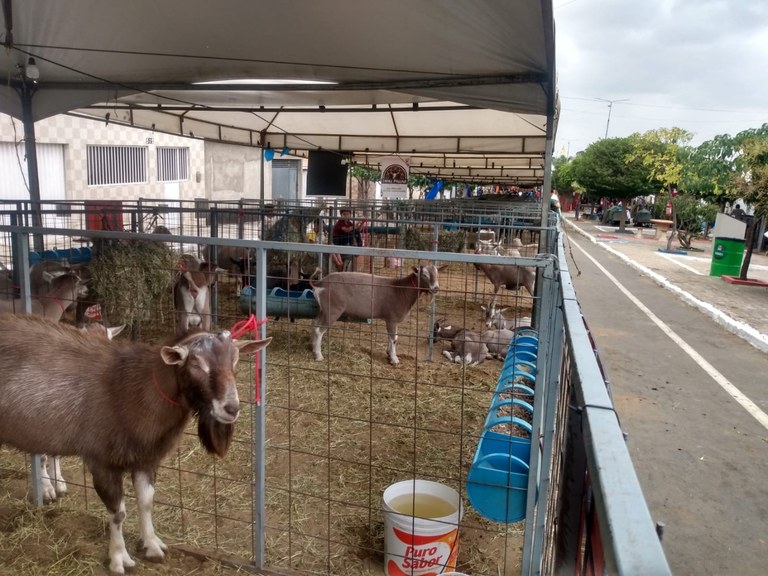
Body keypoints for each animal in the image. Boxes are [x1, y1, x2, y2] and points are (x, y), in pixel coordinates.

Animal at [0, 316, 270, 576]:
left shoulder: (146, 459)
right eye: (195, 363)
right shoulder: (102, 461)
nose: (231, 408)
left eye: (235, 359)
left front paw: (152, 545)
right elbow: (118, 512)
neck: (133, 390)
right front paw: (120, 559)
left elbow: (146, 502)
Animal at [312, 266, 444, 364]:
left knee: (315, 325)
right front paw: (394, 359)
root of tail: (320, 283)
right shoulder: (392, 318)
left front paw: (389, 353)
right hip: (332, 309)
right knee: (319, 330)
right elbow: (394, 338)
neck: (400, 290)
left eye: (437, 274)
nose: (436, 288)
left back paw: (313, 348)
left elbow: (391, 337)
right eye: (424, 275)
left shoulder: (391, 320)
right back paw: (319, 356)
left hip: (322, 310)